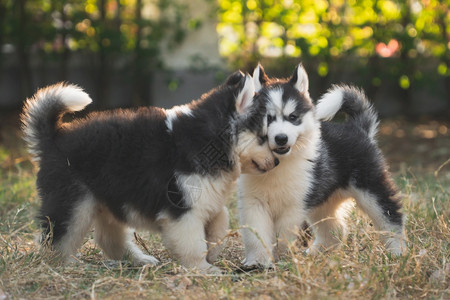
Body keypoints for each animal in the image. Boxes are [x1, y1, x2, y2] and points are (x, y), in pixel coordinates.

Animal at [22, 72, 278, 272]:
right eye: (263, 137)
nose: (277, 161)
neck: (213, 140)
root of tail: (55, 138)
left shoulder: (205, 198)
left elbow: (220, 218)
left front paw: (214, 250)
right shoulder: (182, 209)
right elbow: (193, 243)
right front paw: (204, 268)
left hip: (109, 202)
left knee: (108, 239)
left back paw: (139, 259)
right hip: (74, 205)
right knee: (57, 239)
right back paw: (63, 265)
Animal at [241, 63, 406, 268]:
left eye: (293, 117)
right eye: (268, 118)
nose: (281, 138)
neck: (280, 163)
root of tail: (357, 128)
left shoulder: (294, 206)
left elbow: (283, 235)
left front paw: (281, 257)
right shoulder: (254, 203)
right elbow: (255, 234)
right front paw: (256, 261)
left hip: (371, 189)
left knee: (390, 217)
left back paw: (396, 252)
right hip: (322, 201)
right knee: (335, 229)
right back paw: (315, 253)